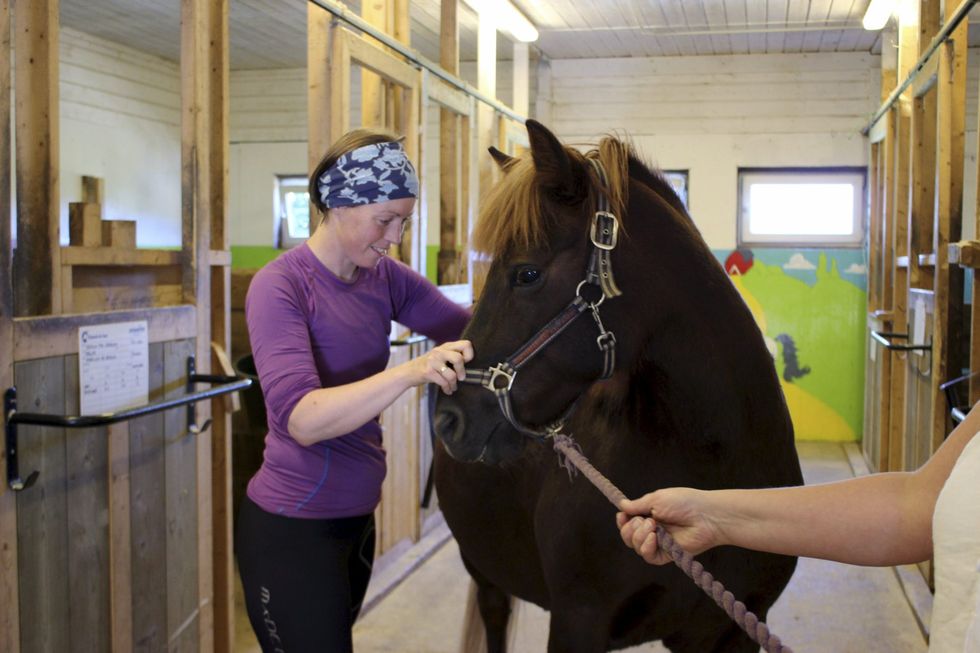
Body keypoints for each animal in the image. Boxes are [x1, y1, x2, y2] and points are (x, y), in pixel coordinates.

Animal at [432, 118, 800, 652]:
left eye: (526, 273)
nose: (448, 418)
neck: (714, 465)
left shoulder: (734, 630)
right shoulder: (577, 623)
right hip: (484, 572)